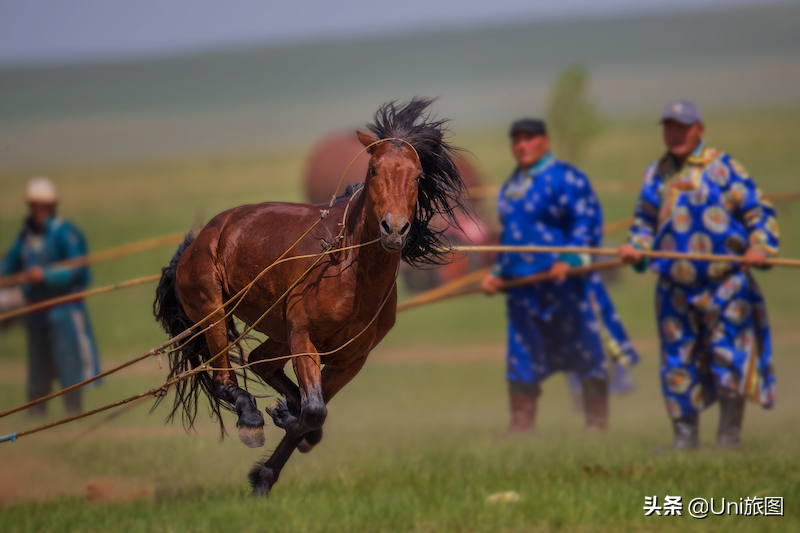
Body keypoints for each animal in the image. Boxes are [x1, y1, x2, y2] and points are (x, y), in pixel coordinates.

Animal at [153, 97, 472, 496]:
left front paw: (267, 469)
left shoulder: (350, 360)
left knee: (261, 362)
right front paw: (281, 418)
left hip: (277, 329)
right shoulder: (304, 340)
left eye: (417, 176)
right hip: (213, 311)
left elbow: (313, 416)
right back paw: (251, 418)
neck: (349, 272)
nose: (395, 229)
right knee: (225, 378)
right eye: (373, 170)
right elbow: (314, 412)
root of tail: (200, 238)